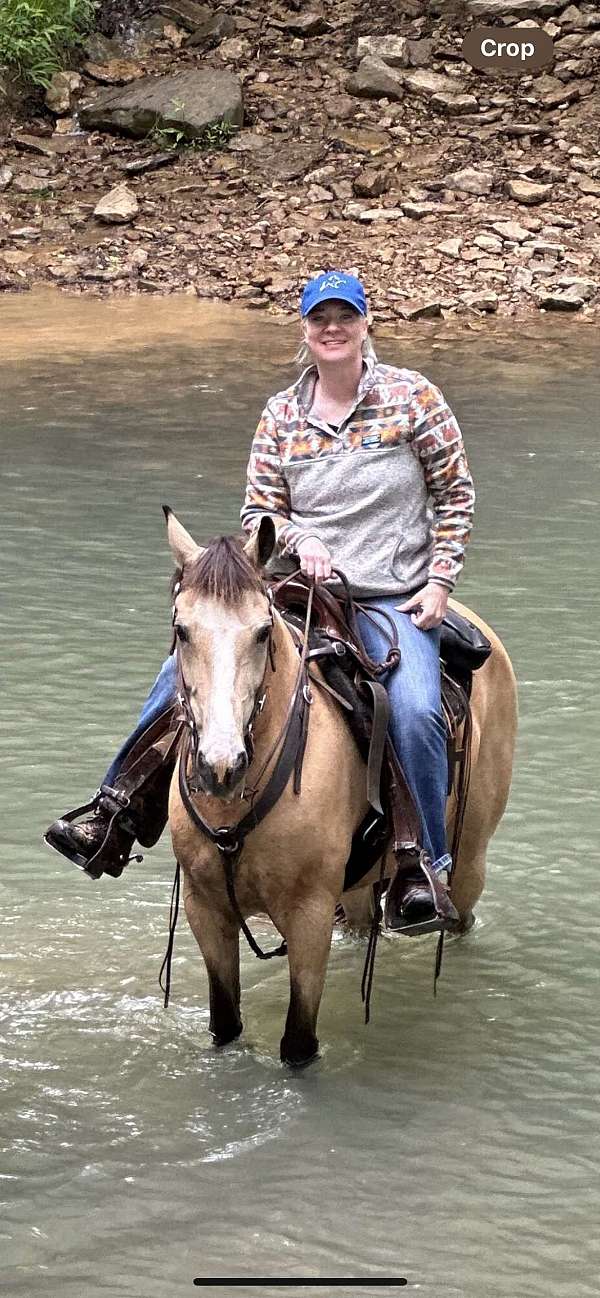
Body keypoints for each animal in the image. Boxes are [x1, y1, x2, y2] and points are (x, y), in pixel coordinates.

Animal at [162, 506, 516, 1064]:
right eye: (182, 630)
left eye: (262, 631)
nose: (221, 764)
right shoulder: (207, 910)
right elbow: (225, 1024)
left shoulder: (308, 919)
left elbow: (298, 1044)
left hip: (468, 863)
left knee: (460, 919)